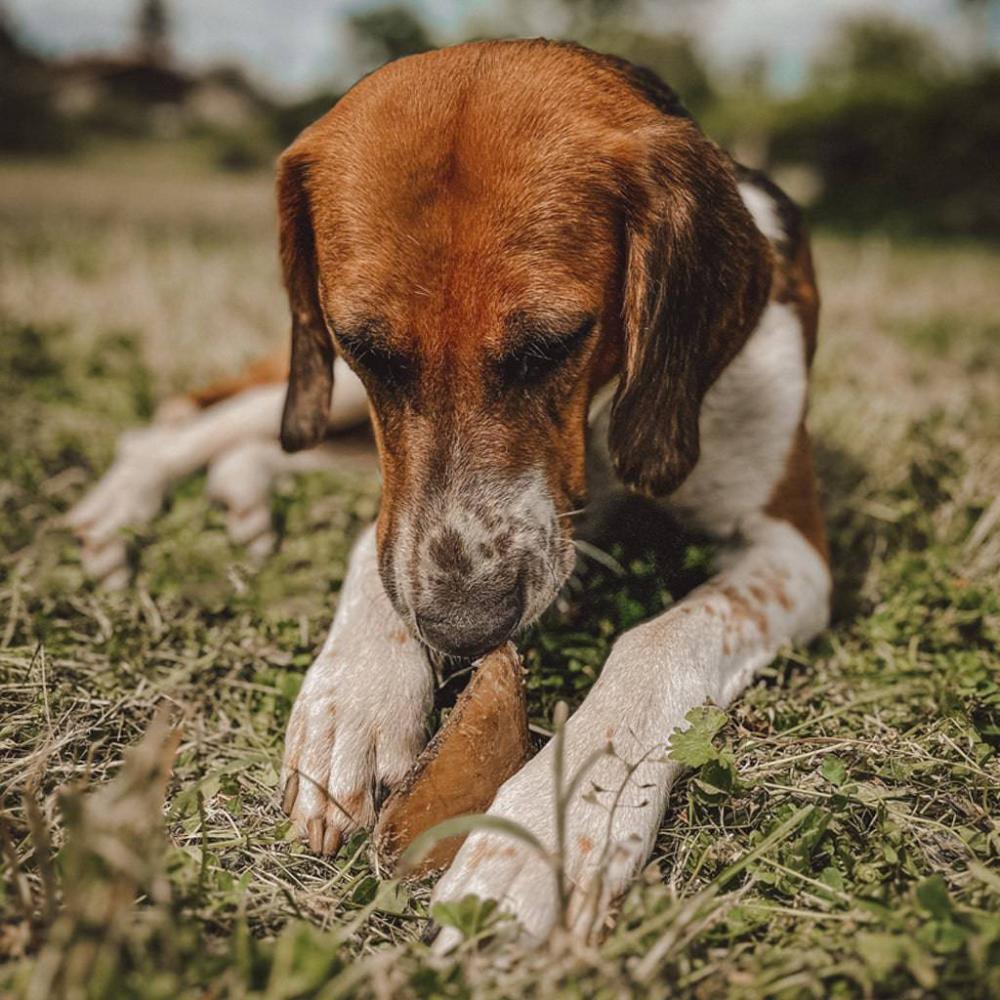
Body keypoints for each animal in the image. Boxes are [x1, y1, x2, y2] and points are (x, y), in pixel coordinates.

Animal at [70, 41, 832, 944]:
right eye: (366, 346)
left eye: (554, 344)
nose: (463, 630)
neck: (605, 406)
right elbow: (380, 546)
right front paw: (359, 692)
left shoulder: (793, 545)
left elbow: (661, 637)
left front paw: (553, 829)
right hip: (317, 392)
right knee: (184, 425)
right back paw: (117, 516)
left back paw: (245, 504)